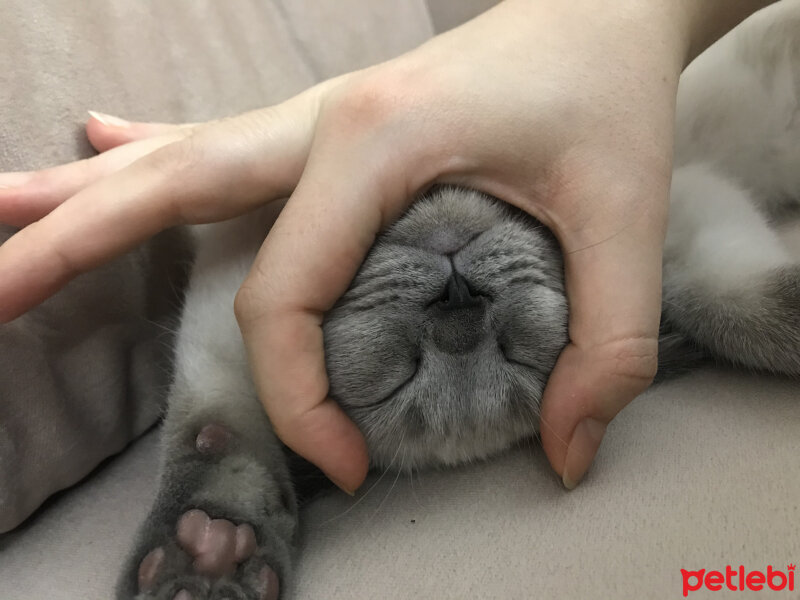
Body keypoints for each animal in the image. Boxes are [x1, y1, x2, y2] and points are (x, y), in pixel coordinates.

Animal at [115, 4, 796, 600]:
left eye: (516, 351)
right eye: (400, 378)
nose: (458, 300)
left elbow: (738, 305)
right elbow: (214, 424)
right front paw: (210, 549)